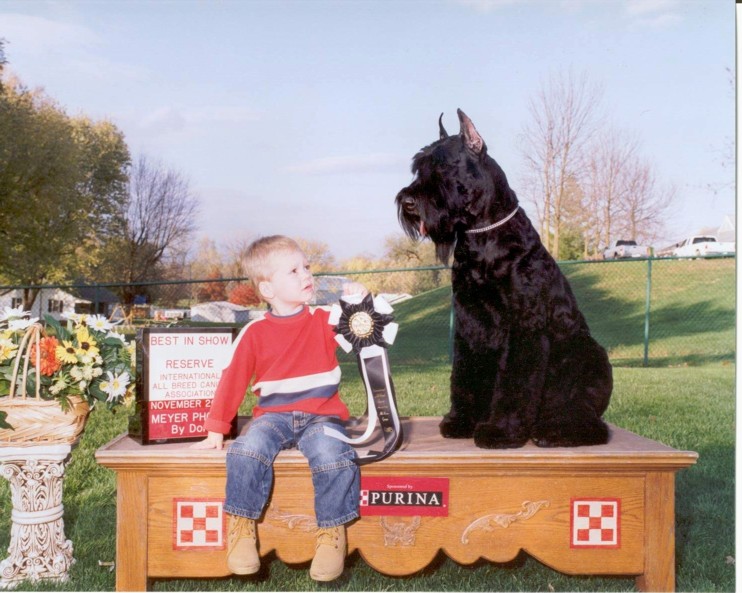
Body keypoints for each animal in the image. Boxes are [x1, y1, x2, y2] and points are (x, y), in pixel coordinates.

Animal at [398, 108, 612, 446]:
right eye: (419, 167)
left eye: (443, 166)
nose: (408, 202)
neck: (484, 236)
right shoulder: (470, 320)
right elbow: (465, 374)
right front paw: (462, 420)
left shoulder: (523, 323)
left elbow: (515, 381)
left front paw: (500, 431)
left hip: (589, 356)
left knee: (590, 421)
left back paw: (554, 431)